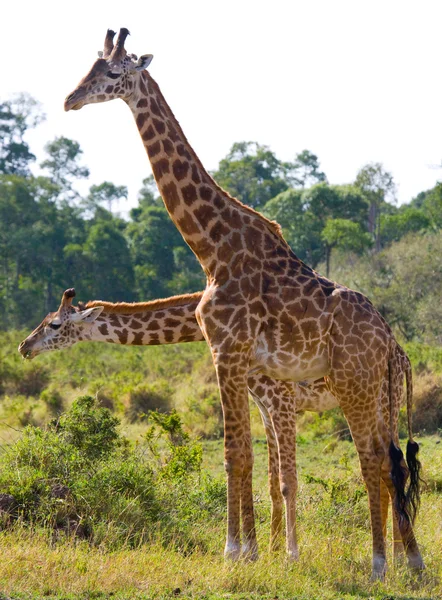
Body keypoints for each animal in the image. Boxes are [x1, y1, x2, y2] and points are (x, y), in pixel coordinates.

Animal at [19, 288, 408, 560]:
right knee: (387, 465)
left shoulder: (280, 400)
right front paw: (266, 551)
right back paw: (395, 551)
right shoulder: (263, 403)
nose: (24, 346)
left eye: (54, 324)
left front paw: (288, 554)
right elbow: (265, 478)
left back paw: (398, 554)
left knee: (389, 464)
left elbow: (285, 481)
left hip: (379, 401)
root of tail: (401, 355)